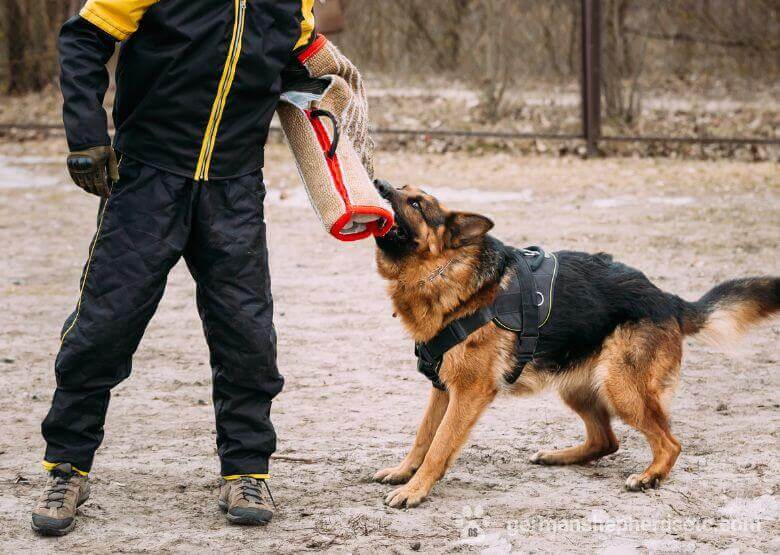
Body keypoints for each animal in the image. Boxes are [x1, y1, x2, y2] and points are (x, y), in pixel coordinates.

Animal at [372, 181, 780, 508]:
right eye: (401, 190)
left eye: (416, 203)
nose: (379, 184)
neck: (445, 270)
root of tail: (667, 298)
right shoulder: (443, 389)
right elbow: (423, 436)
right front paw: (403, 471)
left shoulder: (469, 392)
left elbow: (440, 444)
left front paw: (415, 489)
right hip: (579, 387)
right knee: (606, 441)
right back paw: (559, 456)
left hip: (621, 388)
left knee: (669, 442)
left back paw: (651, 476)